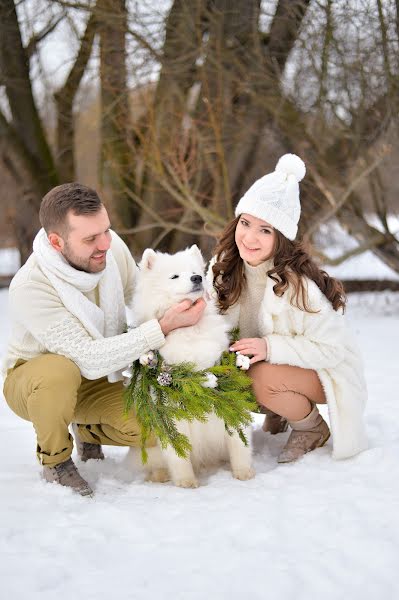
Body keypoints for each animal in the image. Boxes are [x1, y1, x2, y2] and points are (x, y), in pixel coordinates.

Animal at [128, 244, 255, 488]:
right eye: (174, 276)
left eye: (196, 272)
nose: (197, 278)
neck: (190, 331)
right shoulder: (171, 414)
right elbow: (179, 455)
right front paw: (186, 482)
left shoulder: (229, 401)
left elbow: (239, 441)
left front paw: (244, 473)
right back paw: (160, 476)